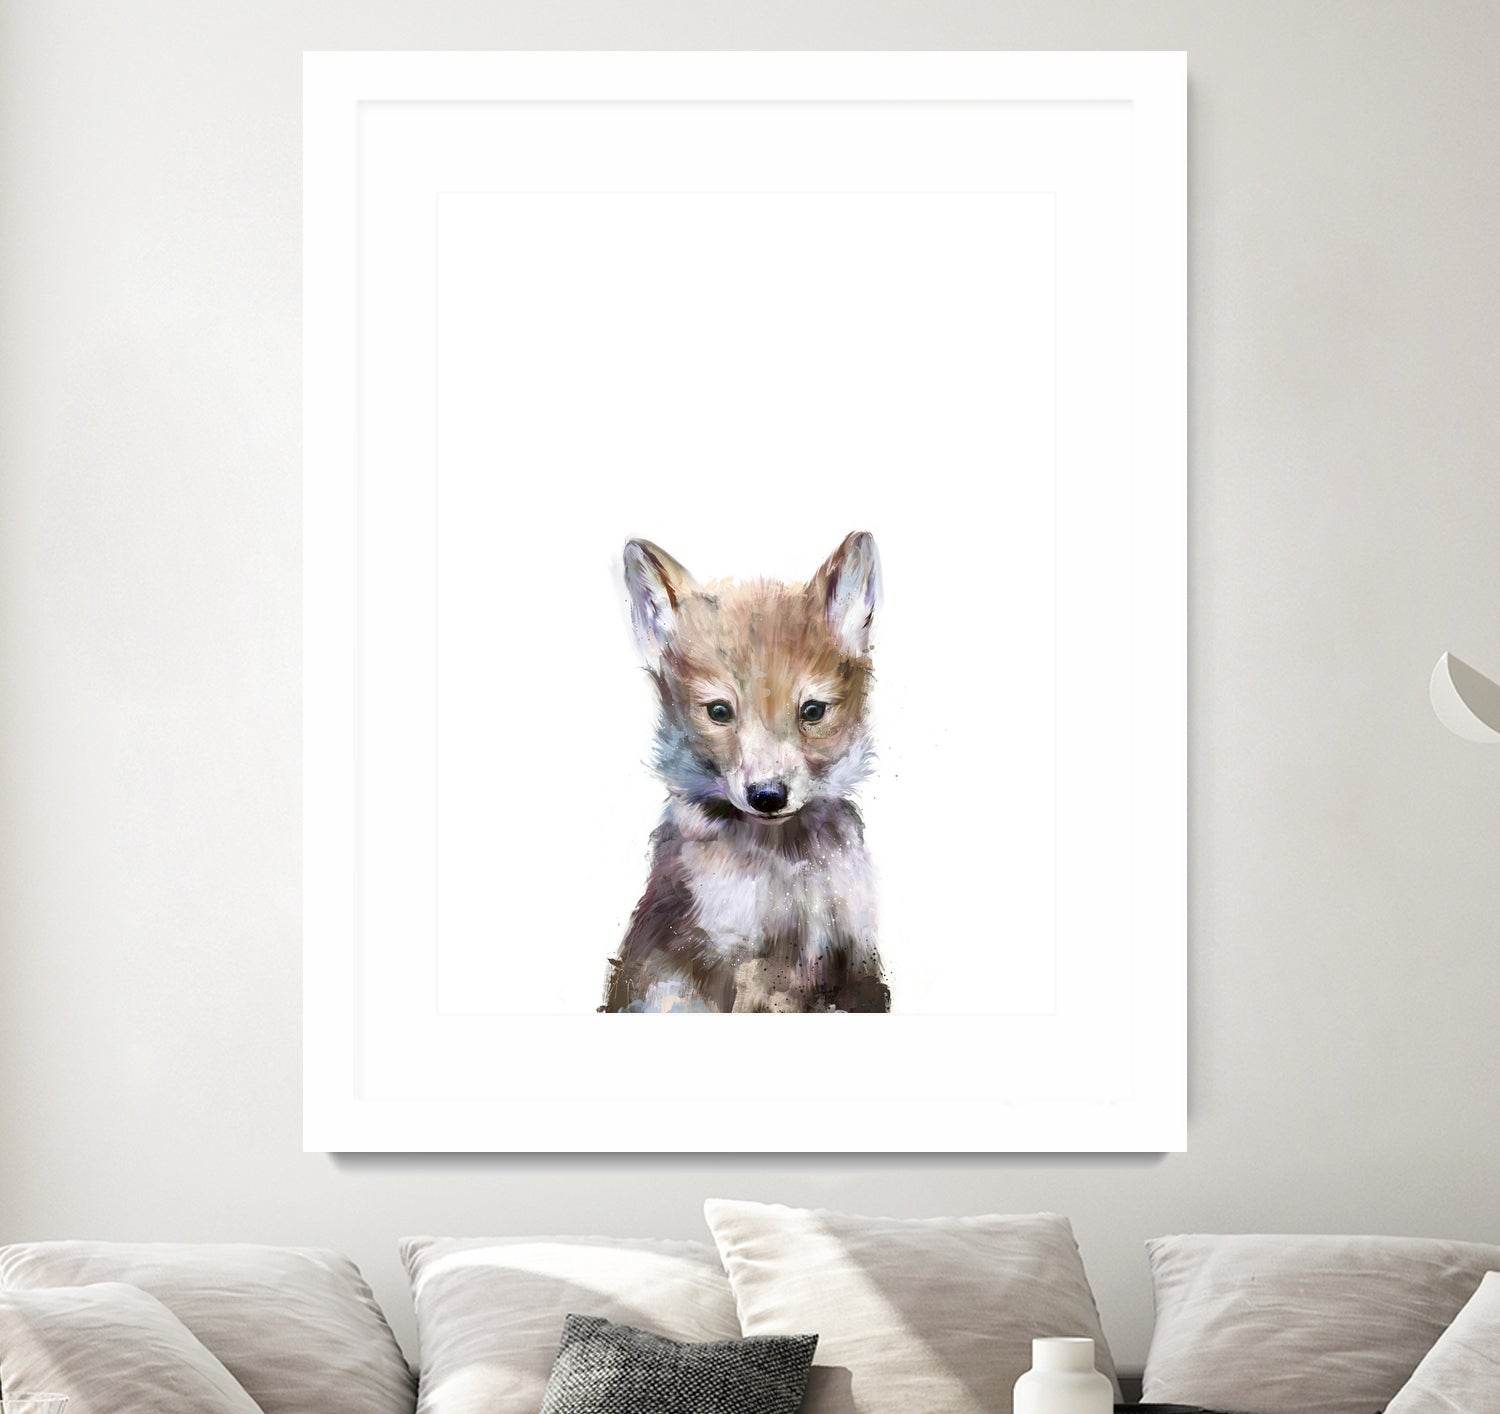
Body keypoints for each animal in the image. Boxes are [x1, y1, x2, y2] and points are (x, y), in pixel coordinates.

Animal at [602, 531, 890, 1014]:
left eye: (813, 711)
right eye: (719, 711)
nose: (768, 796)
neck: (786, 870)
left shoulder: (854, 957)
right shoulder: (736, 961)